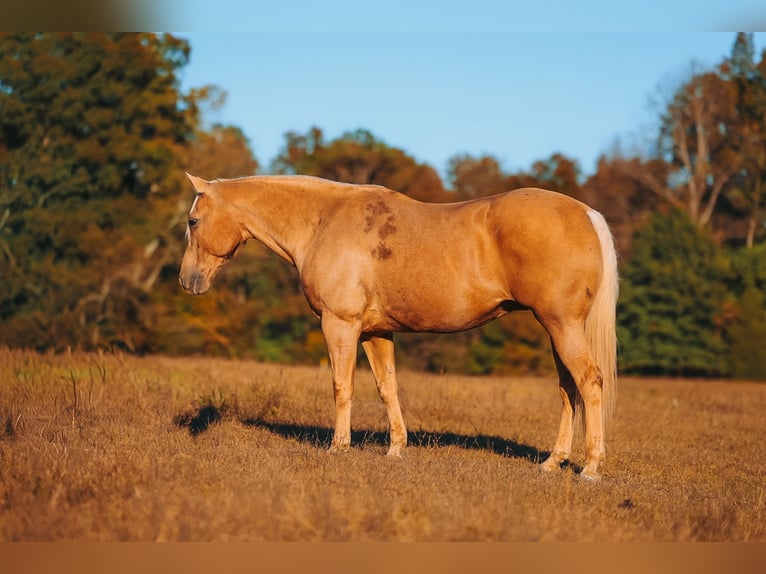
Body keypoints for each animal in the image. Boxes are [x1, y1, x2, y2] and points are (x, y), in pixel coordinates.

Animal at [178, 173, 618, 481]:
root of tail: (586, 213)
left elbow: (342, 387)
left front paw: (339, 447)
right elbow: (386, 386)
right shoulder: (376, 332)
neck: (323, 221)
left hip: (562, 326)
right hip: (557, 330)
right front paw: (395, 448)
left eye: (193, 220)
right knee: (569, 390)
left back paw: (590, 467)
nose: (187, 280)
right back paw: (553, 462)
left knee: (589, 382)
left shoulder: (340, 325)